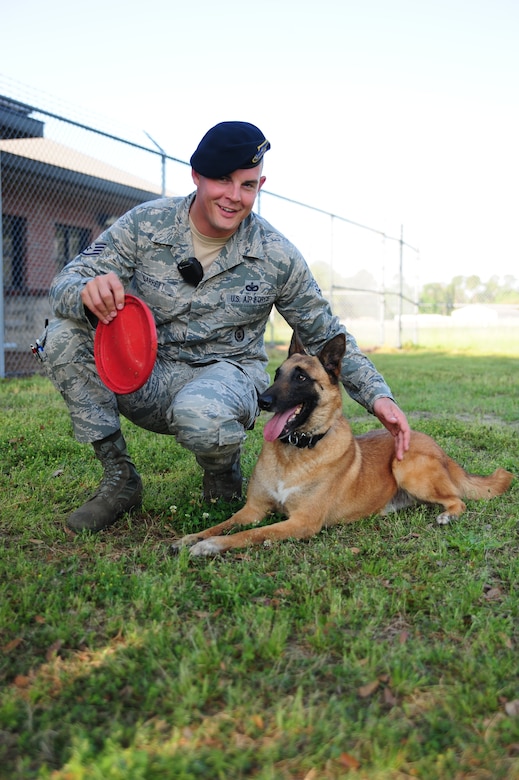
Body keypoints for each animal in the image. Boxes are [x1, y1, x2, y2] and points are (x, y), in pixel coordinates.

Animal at [173, 332, 512, 556]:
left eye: (301, 378)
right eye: (277, 374)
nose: (262, 400)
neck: (296, 450)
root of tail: (438, 448)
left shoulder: (301, 523)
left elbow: (250, 535)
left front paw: (210, 546)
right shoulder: (252, 510)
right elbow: (224, 524)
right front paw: (194, 537)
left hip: (407, 467)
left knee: (457, 500)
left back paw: (447, 515)